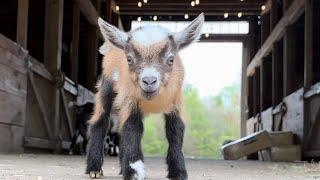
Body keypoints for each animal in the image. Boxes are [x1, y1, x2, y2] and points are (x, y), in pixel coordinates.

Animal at [86, 13, 204, 180]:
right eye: (129, 59)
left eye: (171, 59)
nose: (149, 81)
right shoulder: (130, 100)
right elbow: (132, 128)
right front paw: (135, 172)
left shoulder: (176, 101)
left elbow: (175, 130)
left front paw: (178, 172)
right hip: (106, 87)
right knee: (100, 122)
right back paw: (94, 169)